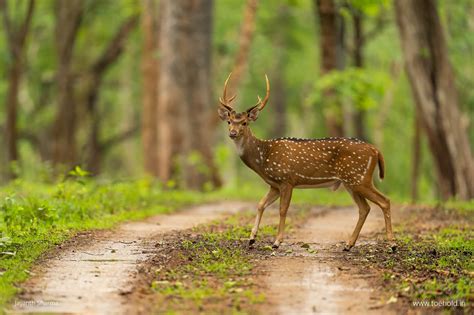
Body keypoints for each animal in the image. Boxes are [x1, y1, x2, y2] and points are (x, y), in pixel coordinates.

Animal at [218, 74, 396, 252]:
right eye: (229, 121)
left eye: (244, 123)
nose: (232, 133)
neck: (263, 157)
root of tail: (375, 150)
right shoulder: (274, 185)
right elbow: (260, 204)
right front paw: (251, 239)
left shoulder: (287, 180)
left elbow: (282, 209)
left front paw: (277, 242)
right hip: (350, 182)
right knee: (364, 208)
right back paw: (348, 244)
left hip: (360, 178)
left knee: (384, 201)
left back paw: (392, 244)